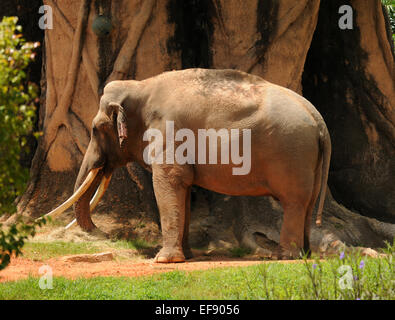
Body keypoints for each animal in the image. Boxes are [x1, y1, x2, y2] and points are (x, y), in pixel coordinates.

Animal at [44, 68, 332, 262]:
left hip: (293, 153)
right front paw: (187, 255)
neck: (140, 87)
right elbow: (182, 189)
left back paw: (285, 257)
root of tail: (318, 118)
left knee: (294, 203)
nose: (104, 234)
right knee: (307, 204)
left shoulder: (169, 132)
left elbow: (169, 182)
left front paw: (163, 260)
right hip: (308, 160)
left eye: (95, 129)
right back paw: (304, 254)